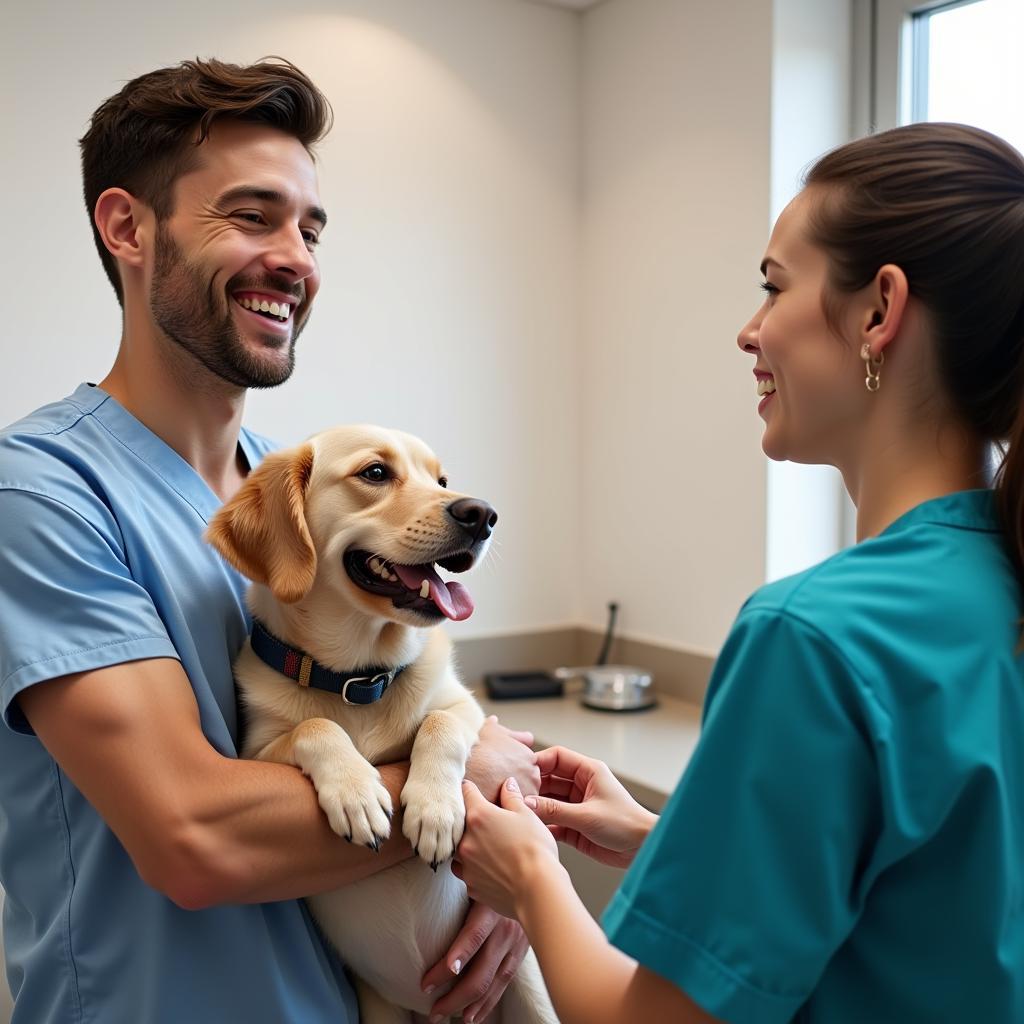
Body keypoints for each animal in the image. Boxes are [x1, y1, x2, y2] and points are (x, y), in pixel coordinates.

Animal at [206, 423, 557, 1024]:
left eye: (442, 481)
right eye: (374, 472)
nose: (483, 514)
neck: (360, 679)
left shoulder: (468, 710)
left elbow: (439, 724)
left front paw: (436, 812)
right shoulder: (255, 754)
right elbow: (314, 729)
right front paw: (357, 795)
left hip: (530, 994)